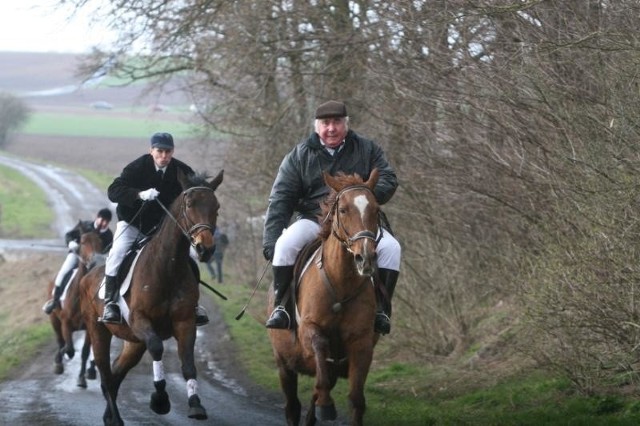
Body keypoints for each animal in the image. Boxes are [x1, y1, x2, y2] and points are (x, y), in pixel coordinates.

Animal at [47, 223, 103, 386]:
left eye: (100, 242)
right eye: (82, 242)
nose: (94, 261)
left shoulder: (89, 327)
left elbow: (84, 352)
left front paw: (81, 378)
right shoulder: (65, 323)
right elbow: (69, 349)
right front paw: (59, 359)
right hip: (54, 320)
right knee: (60, 341)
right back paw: (59, 362)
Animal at [80, 170, 222, 426]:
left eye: (216, 206)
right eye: (189, 204)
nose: (205, 249)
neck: (167, 267)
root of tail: (90, 273)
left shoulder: (185, 322)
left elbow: (188, 363)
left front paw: (196, 405)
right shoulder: (141, 320)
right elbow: (157, 348)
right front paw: (160, 400)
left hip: (134, 342)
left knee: (115, 374)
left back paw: (110, 416)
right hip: (99, 332)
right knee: (105, 373)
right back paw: (116, 418)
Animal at [268, 170, 380, 426]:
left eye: (376, 209)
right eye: (343, 210)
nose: (365, 257)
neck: (341, 283)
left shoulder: (361, 343)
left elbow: (356, 399)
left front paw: (327, 405)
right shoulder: (310, 329)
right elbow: (319, 346)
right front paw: (327, 405)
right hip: (283, 363)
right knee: (292, 404)